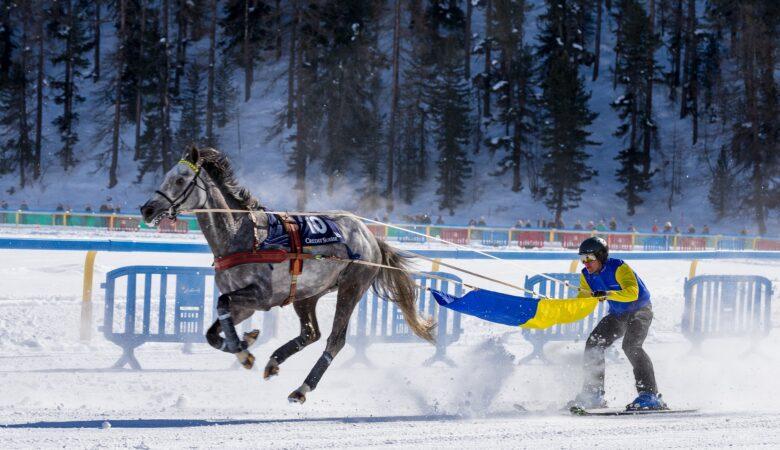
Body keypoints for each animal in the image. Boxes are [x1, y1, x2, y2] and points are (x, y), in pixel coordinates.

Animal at [138, 146, 436, 402]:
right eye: (167, 176)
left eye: (180, 179)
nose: (147, 209)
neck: (245, 235)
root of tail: (370, 237)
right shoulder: (243, 303)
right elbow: (213, 332)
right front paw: (244, 342)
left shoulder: (260, 296)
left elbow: (222, 306)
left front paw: (243, 352)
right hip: (307, 293)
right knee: (311, 333)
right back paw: (274, 361)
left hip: (351, 287)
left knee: (334, 340)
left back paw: (303, 387)